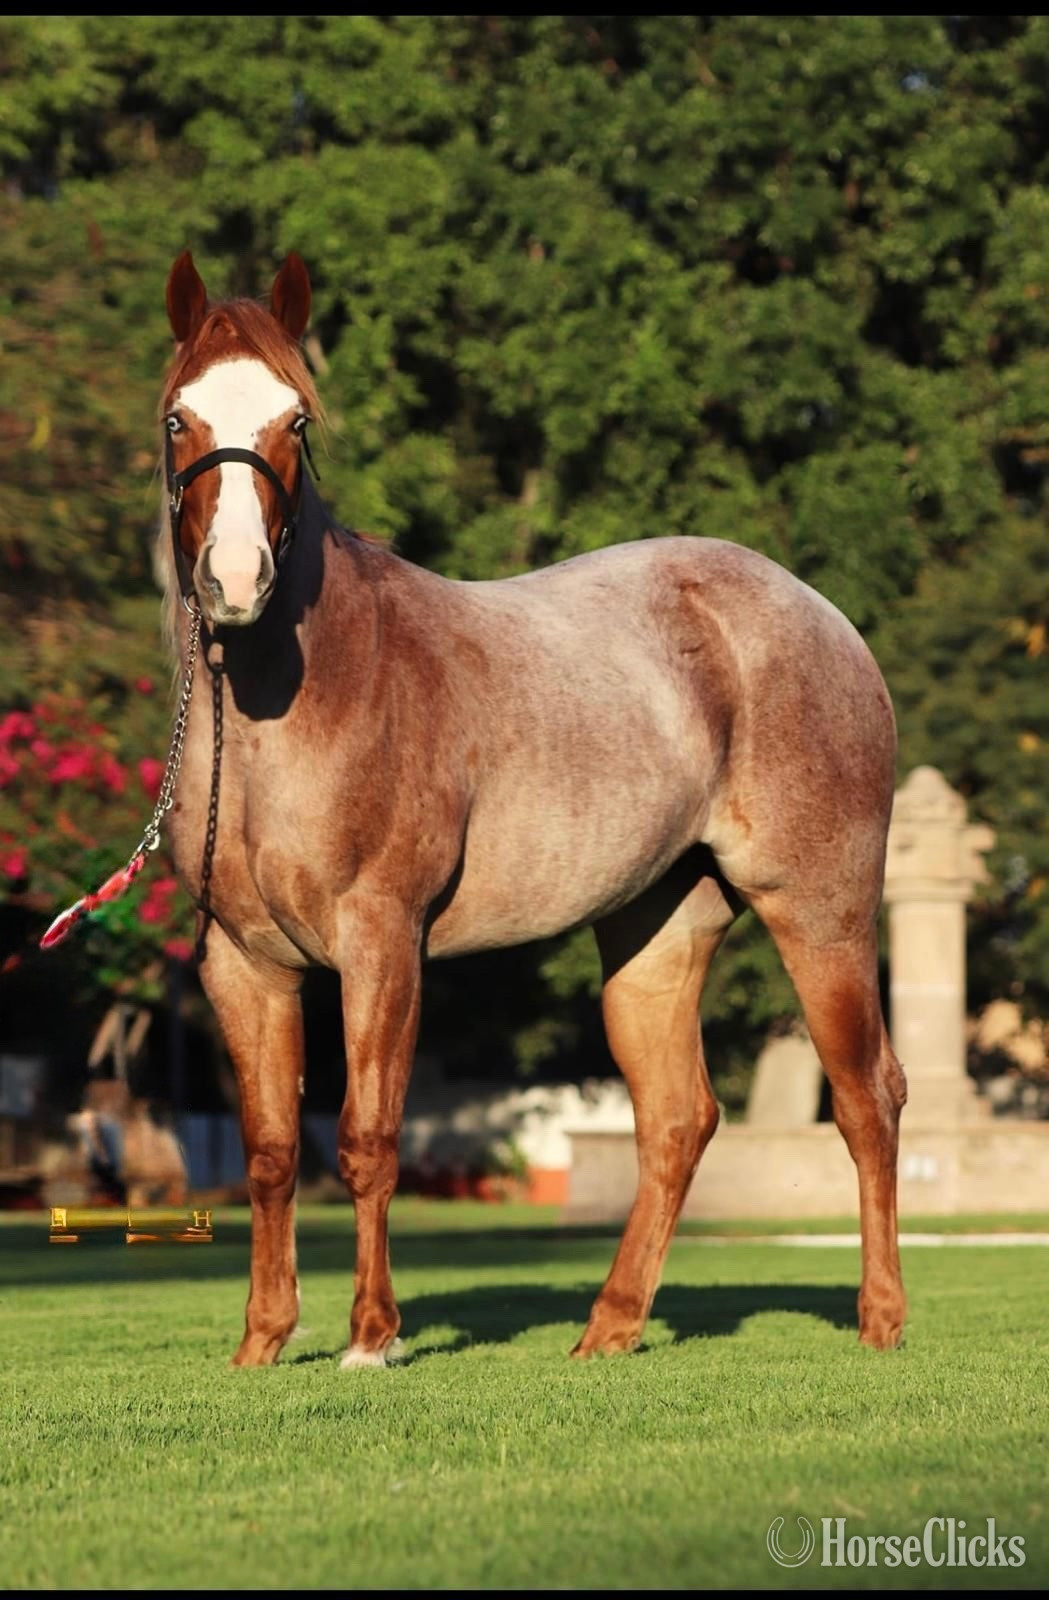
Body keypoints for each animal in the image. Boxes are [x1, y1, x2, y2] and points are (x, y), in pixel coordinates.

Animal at [158, 249, 907, 1369]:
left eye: (297, 419)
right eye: (179, 418)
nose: (237, 579)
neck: (293, 699)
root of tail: (823, 618)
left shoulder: (382, 941)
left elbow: (366, 1136)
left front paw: (370, 1339)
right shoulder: (243, 965)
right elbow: (271, 1149)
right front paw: (262, 1343)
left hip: (819, 911)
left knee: (866, 1098)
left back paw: (879, 1318)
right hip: (654, 932)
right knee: (676, 1119)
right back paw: (609, 1327)